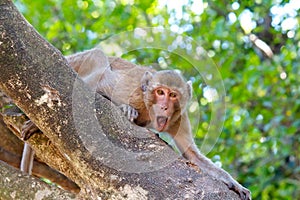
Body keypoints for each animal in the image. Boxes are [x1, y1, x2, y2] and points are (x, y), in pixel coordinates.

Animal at [65, 48, 251, 200]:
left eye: (173, 95)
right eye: (160, 92)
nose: (164, 106)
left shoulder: (179, 119)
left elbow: (192, 155)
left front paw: (233, 182)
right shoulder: (134, 94)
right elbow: (101, 85)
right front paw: (125, 108)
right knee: (97, 57)